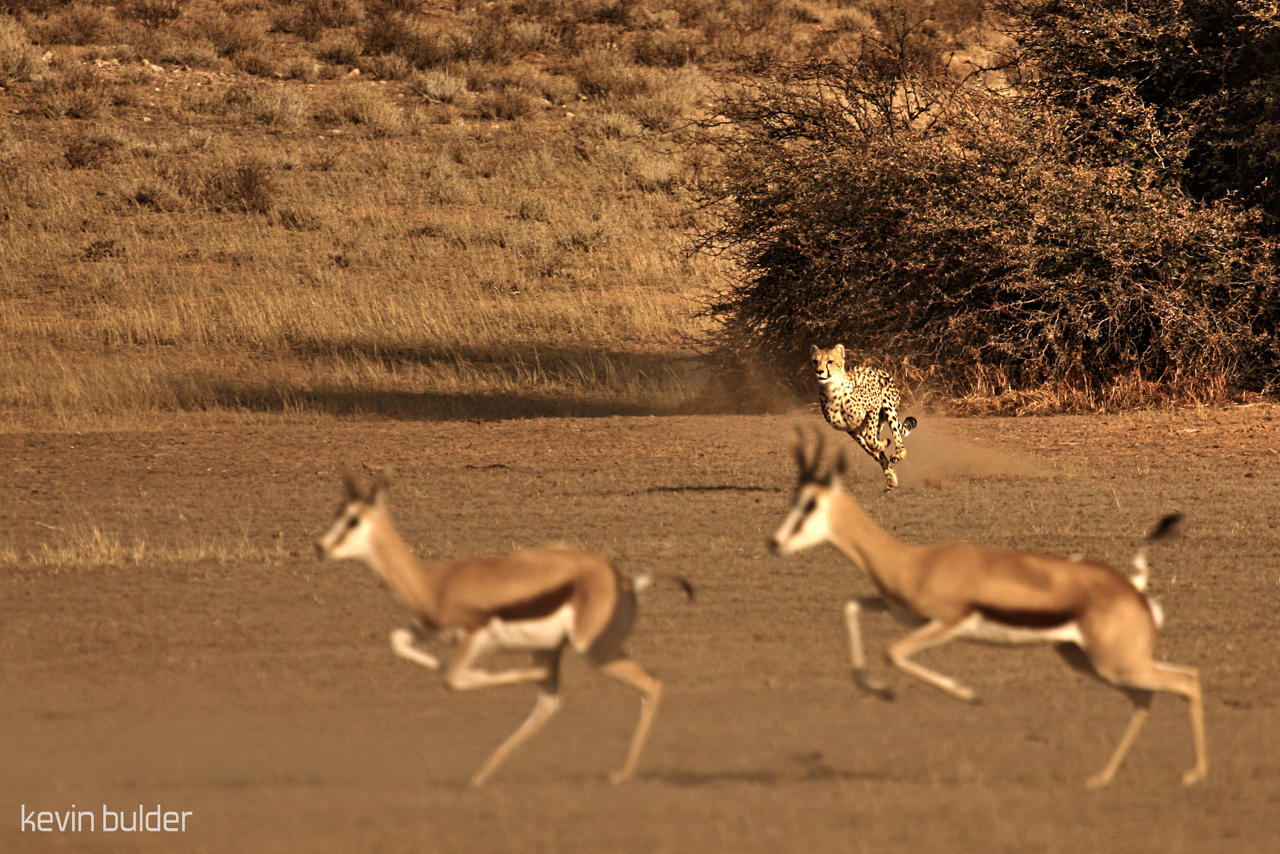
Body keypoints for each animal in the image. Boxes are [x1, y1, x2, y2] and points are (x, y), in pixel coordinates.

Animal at [810, 343, 917, 491]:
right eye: (815, 361)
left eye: (830, 361)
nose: (819, 372)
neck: (831, 389)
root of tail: (876, 369)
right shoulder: (851, 429)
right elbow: (872, 447)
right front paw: (882, 448)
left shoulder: (874, 404)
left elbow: (871, 439)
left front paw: (885, 444)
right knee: (876, 451)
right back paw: (891, 479)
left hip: (888, 404)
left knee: (895, 434)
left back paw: (899, 453)